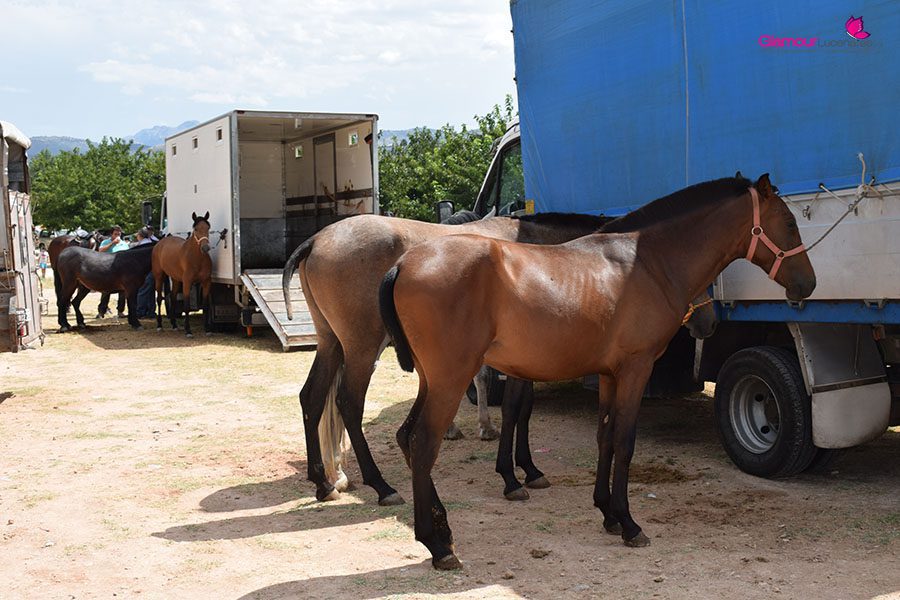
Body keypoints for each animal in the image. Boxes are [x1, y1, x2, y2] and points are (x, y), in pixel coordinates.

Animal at [281, 212, 610, 506]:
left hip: (330, 343)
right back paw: (381, 486)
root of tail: (317, 240)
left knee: (311, 398)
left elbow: (520, 409)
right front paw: (518, 473)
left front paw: (525, 467)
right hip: (361, 347)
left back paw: (324, 483)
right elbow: (515, 410)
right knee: (348, 403)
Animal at [379, 174, 815, 569]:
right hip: (450, 379)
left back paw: (443, 528)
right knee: (423, 443)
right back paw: (437, 545)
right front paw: (629, 523)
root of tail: (403, 264)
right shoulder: (636, 369)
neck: (649, 263)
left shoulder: (609, 374)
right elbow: (624, 441)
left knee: (406, 437)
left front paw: (606, 513)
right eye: (789, 222)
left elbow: (605, 437)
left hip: (432, 380)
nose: (807, 284)